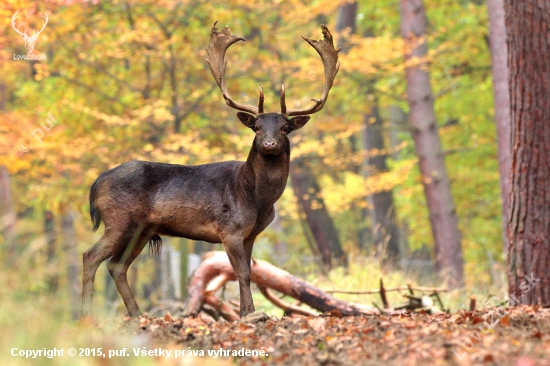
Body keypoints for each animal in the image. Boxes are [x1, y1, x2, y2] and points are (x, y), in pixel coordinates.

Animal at [82, 22, 340, 318]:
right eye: (257, 127)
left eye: (285, 128)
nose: (269, 143)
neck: (257, 198)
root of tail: (96, 182)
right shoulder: (230, 229)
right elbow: (242, 273)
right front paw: (248, 314)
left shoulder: (251, 234)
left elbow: (247, 272)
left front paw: (247, 312)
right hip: (119, 219)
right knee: (91, 256)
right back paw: (86, 316)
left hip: (143, 229)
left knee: (117, 266)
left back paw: (137, 315)